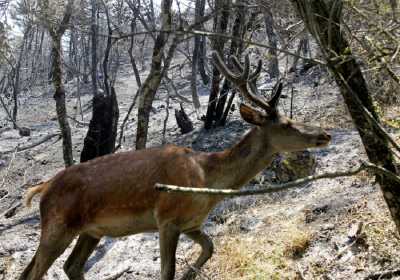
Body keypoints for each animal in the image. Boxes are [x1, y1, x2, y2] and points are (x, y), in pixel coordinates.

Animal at [18, 52, 332, 280]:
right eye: (287, 124)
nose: (325, 134)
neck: (207, 181)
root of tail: (43, 187)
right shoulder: (166, 218)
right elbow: (166, 272)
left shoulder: (191, 223)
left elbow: (209, 248)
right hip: (58, 224)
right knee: (32, 272)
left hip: (91, 230)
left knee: (69, 266)